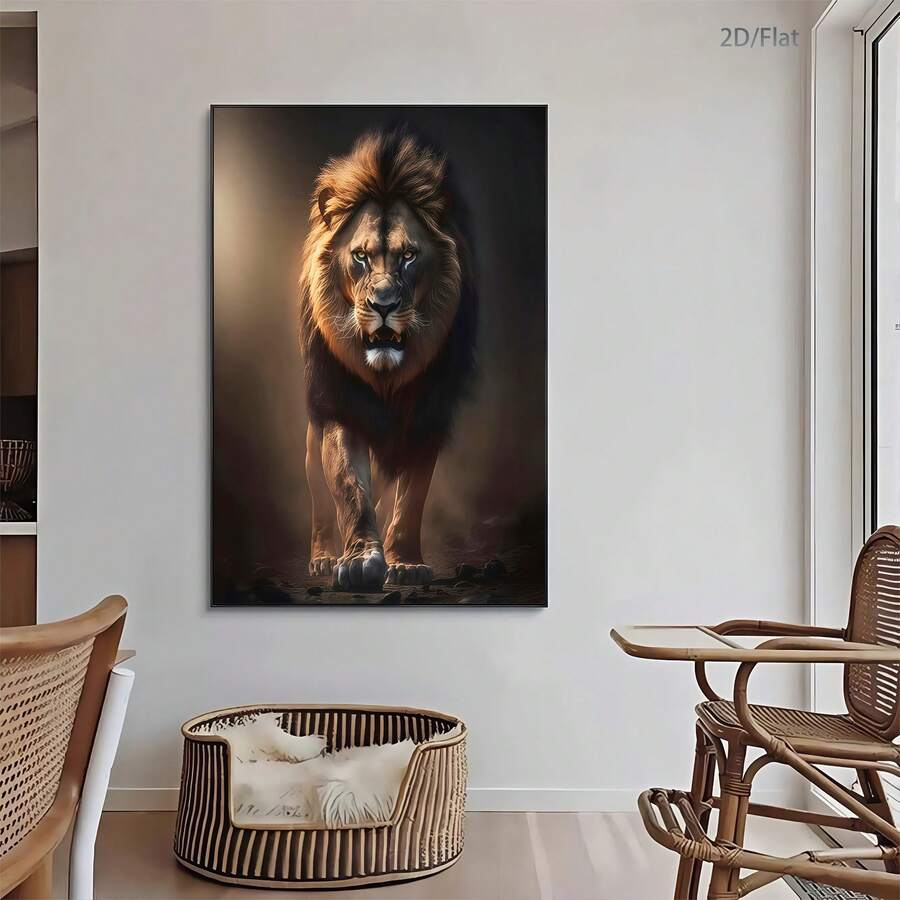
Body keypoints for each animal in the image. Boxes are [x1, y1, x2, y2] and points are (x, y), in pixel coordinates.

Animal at [299, 128, 477, 591]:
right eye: (360, 256)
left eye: (409, 256)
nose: (383, 304)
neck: (387, 376)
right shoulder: (340, 406)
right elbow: (349, 489)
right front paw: (360, 560)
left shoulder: (429, 416)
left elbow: (412, 498)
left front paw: (406, 563)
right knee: (319, 497)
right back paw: (323, 556)